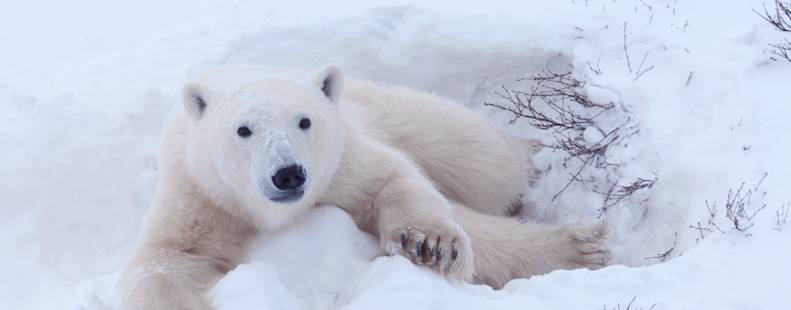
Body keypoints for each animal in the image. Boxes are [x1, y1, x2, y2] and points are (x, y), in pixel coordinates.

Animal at [120, 65, 608, 310]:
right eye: (243, 130)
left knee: (481, 160)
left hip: (386, 108)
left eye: (305, 121)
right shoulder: (201, 194)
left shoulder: (340, 164)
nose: (288, 174)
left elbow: (392, 180)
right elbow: (167, 259)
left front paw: (429, 243)